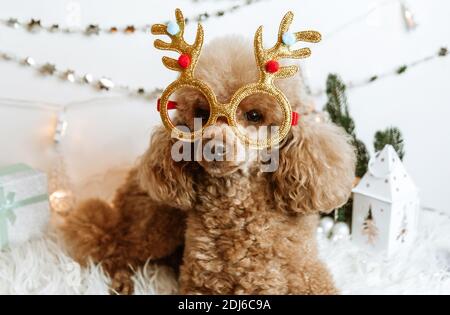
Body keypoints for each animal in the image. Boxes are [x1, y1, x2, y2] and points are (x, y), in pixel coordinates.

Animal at [59, 37, 356, 296]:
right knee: (113, 245)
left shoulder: (309, 276)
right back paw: (121, 282)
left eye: (255, 115)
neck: (238, 209)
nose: (213, 147)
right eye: (201, 112)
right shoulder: (202, 282)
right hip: (156, 224)